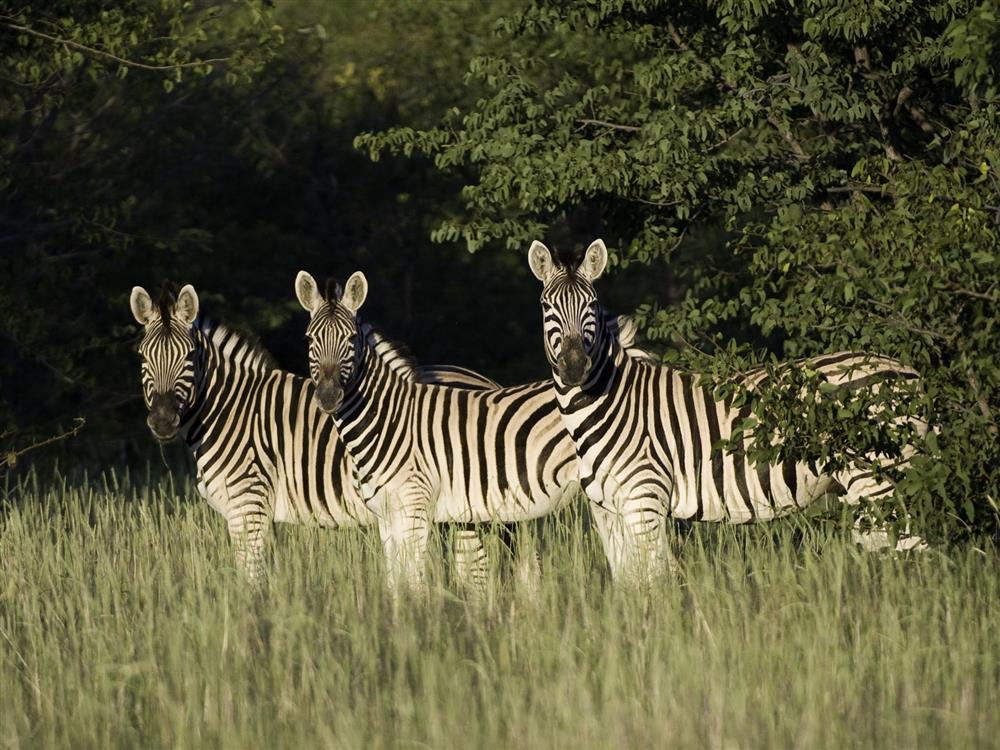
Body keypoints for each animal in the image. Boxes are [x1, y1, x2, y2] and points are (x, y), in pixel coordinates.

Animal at [129, 282, 500, 588]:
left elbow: (250, 581)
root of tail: (485, 381)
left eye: (189, 356)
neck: (232, 409)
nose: (162, 421)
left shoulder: (248, 504)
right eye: (143, 356)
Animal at [292, 270, 656, 592]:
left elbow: (414, 583)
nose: (328, 397)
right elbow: (396, 583)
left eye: (350, 339)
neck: (392, 418)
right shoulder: (387, 515)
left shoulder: (415, 511)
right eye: (309, 339)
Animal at [528, 239, 924, 580]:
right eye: (547, 308)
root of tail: (908, 371)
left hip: (881, 481)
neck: (608, 403)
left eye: (591, 306)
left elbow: (655, 582)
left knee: (913, 552)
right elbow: (630, 583)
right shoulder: (608, 510)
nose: (574, 367)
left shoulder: (645, 500)